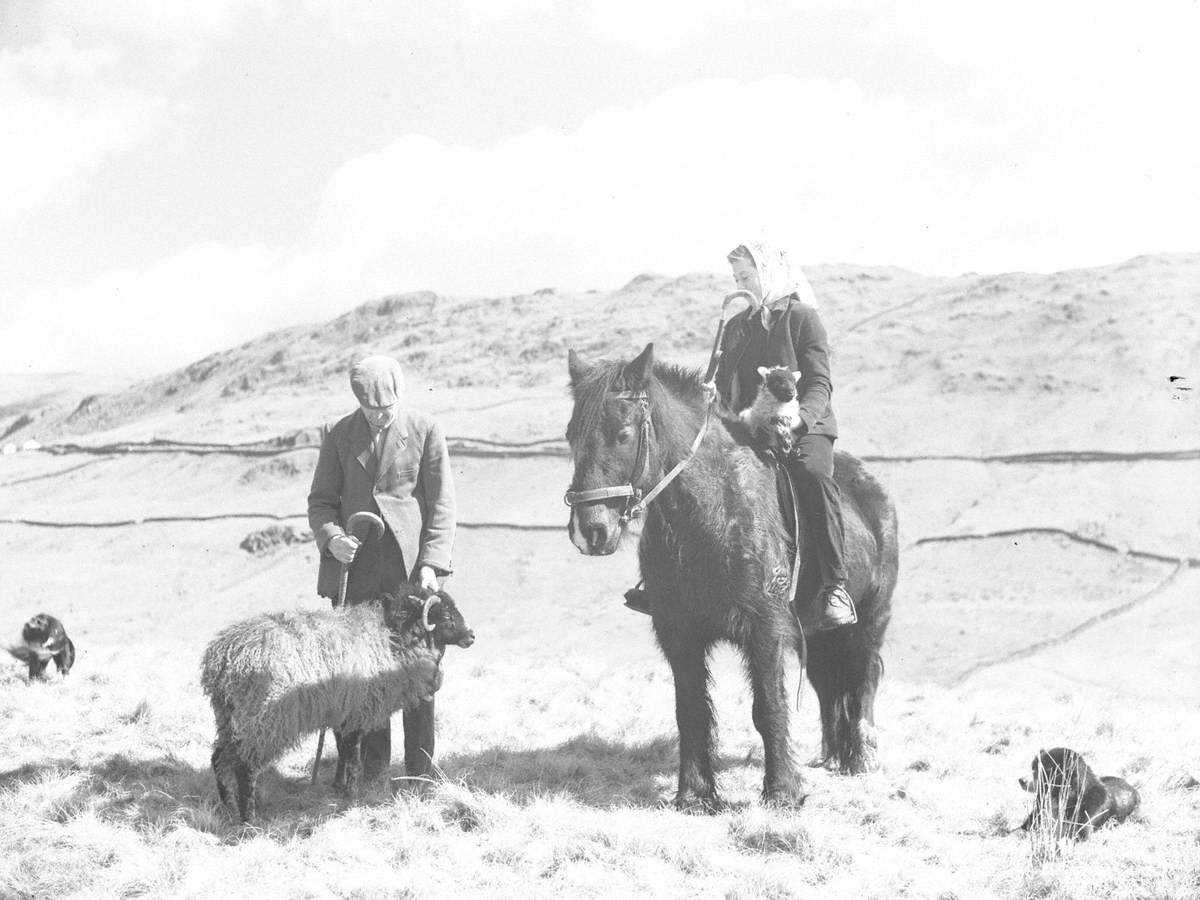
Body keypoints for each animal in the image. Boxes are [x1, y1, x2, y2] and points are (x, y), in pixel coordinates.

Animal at [201, 585, 472, 825]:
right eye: (446, 615)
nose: (472, 636)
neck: (392, 638)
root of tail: (225, 658)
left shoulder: (341, 712)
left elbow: (342, 751)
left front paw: (339, 787)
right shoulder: (356, 712)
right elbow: (352, 757)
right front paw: (352, 794)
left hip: (229, 717)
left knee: (218, 758)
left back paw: (228, 807)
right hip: (265, 719)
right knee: (244, 766)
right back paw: (249, 819)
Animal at [566, 343, 897, 811]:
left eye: (623, 434)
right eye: (570, 435)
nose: (590, 531)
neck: (714, 507)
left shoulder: (765, 630)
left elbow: (768, 707)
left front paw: (782, 791)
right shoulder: (679, 633)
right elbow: (690, 710)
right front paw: (695, 795)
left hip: (871, 619)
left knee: (864, 676)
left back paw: (863, 757)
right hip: (818, 634)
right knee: (826, 684)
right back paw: (834, 756)